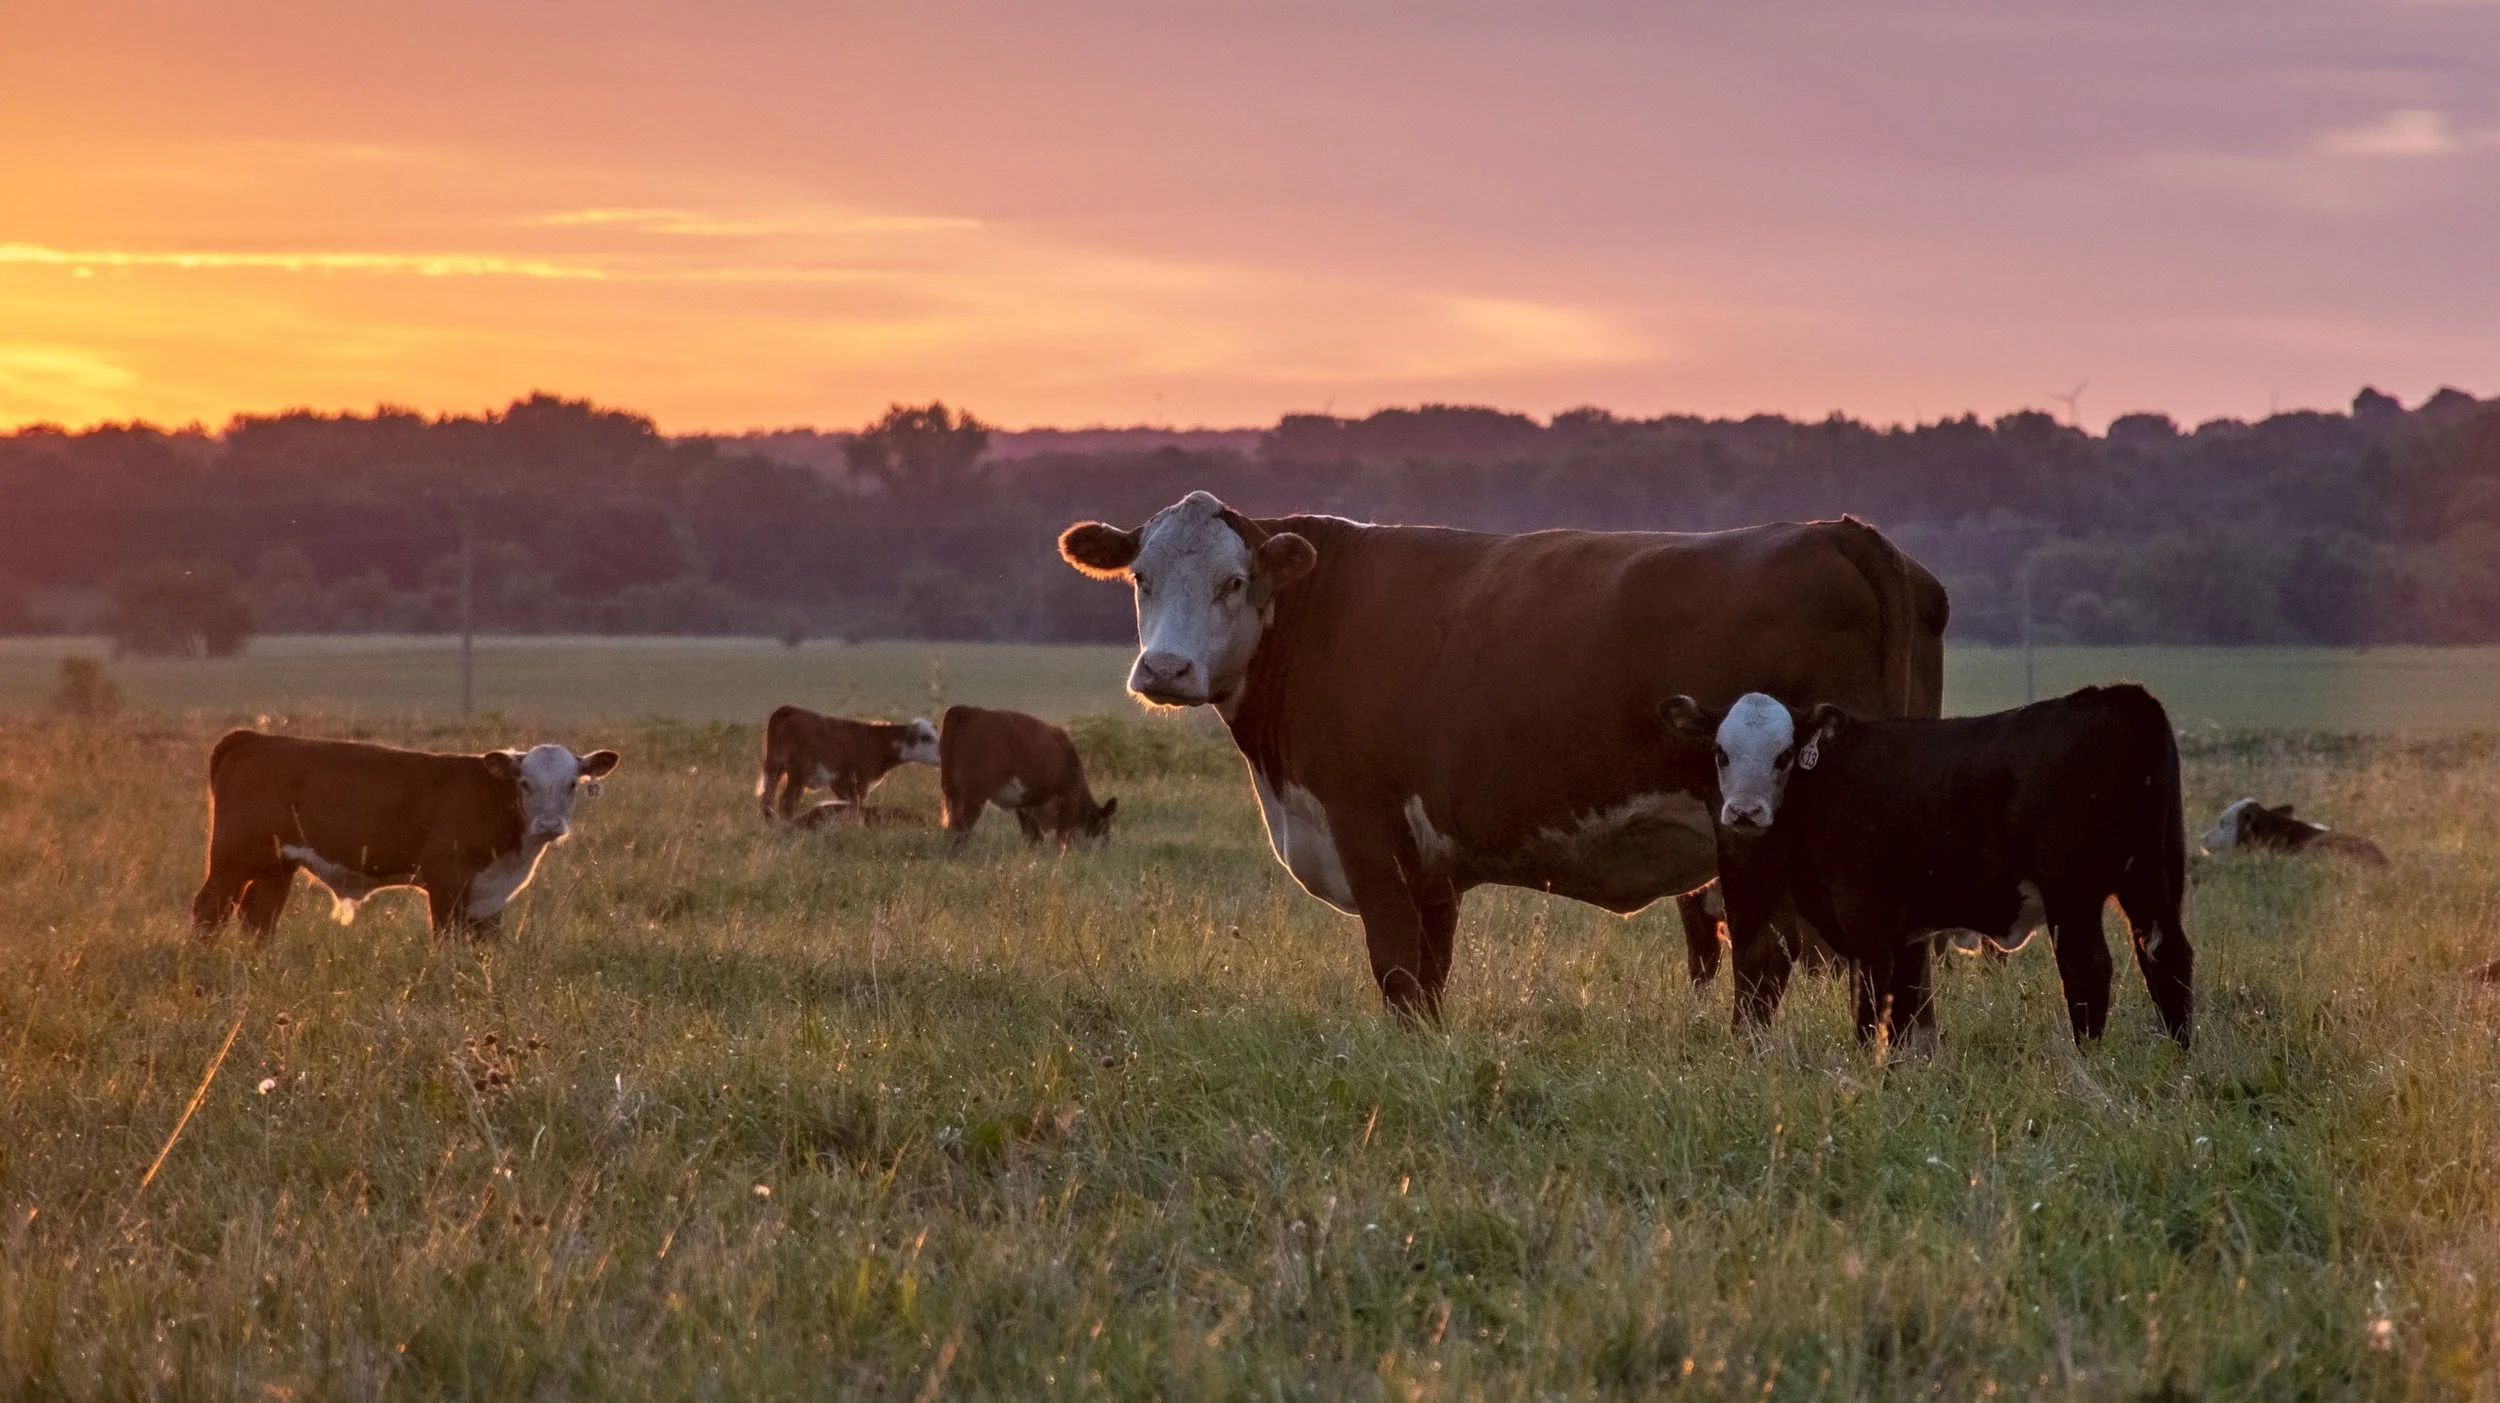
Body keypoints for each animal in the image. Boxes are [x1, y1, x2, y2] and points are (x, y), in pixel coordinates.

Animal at [191, 731, 620, 940]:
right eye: (526, 783)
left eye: (572, 784)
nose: (549, 825)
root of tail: (255, 738)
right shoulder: (447, 882)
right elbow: (446, 940)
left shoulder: (489, 895)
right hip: (231, 859)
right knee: (210, 910)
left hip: (277, 864)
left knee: (259, 917)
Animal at [756, 707, 939, 822]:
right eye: (926, 737)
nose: (941, 756)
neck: (876, 741)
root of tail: (788, 709)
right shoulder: (862, 780)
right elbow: (857, 804)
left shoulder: (842, 783)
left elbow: (850, 803)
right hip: (797, 774)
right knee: (786, 802)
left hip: (775, 768)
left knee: (767, 800)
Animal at [937, 705, 1117, 849]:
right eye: (1105, 829)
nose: (1106, 847)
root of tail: (966, 710)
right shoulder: (1069, 797)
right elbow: (1062, 836)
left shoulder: (1025, 804)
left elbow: (1033, 836)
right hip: (974, 795)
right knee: (961, 828)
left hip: (950, 790)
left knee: (952, 827)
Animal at [1056, 490, 1948, 1023]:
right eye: (1139, 577)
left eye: (1234, 582)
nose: (1165, 670)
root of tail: (1841, 533)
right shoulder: (1431, 863)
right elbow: (1429, 976)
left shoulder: (1366, 827)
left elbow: (1396, 971)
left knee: (1766, 960)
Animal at [1660, 685, 2194, 1051]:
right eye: (1721, 753)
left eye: (1785, 755)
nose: (1745, 813)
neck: (1826, 783)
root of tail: (2119, 697)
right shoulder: (1906, 933)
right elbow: (1902, 1012)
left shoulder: (1868, 920)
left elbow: (1873, 1007)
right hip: (2154, 879)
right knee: (2167, 954)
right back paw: (2179, 1054)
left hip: (2073, 891)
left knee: (2088, 967)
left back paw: (2088, 1057)